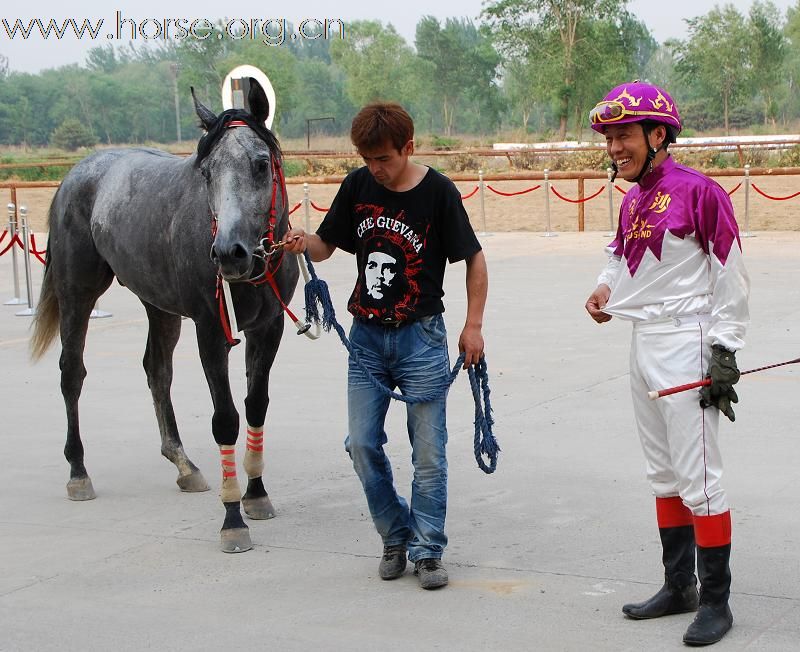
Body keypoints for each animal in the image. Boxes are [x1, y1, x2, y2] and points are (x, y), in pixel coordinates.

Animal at [30, 79, 300, 552]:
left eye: (261, 164)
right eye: (206, 171)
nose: (229, 254)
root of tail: (77, 174)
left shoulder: (269, 328)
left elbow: (256, 407)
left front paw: (257, 496)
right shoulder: (211, 331)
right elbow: (226, 419)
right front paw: (233, 519)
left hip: (158, 307)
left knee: (157, 370)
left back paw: (183, 464)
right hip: (77, 293)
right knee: (71, 373)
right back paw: (78, 472)